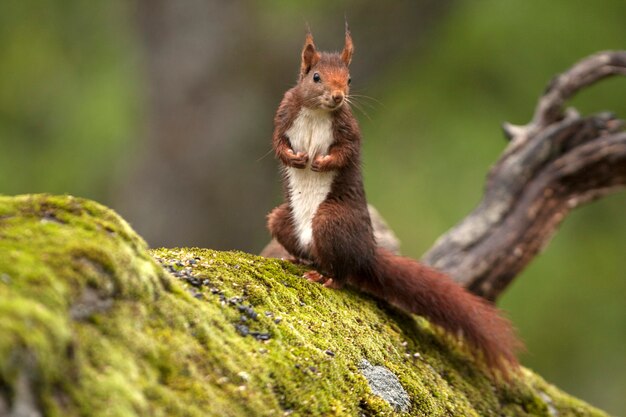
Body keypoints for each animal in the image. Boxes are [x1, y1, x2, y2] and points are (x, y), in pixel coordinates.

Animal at [266, 27, 520, 376]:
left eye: (349, 78)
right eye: (316, 77)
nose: (338, 97)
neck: (318, 113)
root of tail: (368, 254)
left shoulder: (349, 131)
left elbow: (345, 153)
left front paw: (322, 162)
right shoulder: (284, 113)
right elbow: (278, 143)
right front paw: (295, 157)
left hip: (331, 220)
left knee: (342, 272)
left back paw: (324, 277)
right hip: (282, 219)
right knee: (311, 250)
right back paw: (300, 260)